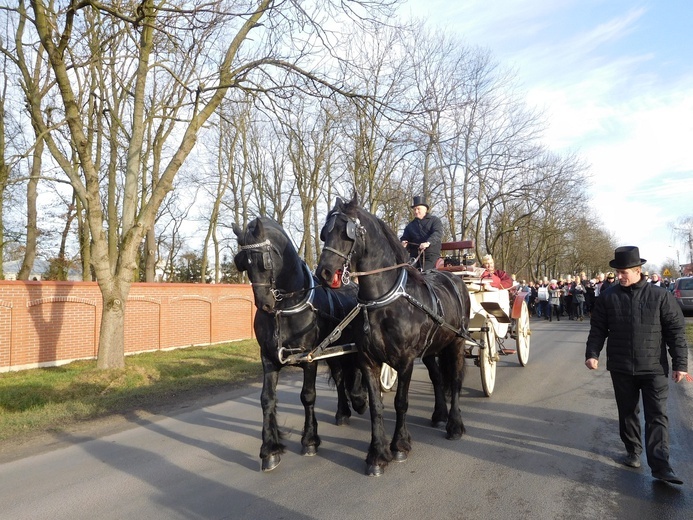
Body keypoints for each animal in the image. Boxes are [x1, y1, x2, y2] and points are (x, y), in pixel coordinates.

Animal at [232, 215, 368, 472]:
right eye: (242, 263)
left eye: (264, 260)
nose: (264, 304)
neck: (285, 309)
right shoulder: (269, 358)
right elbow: (267, 399)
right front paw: (269, 450)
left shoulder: (310, 357)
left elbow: (308, 396)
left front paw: (310, 441)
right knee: (340, 377)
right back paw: (343, 412)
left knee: (355, 372)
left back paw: (359, 399)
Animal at [314, 197, 470, 478]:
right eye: (325, 232)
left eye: (346, 232)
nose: (324, 272)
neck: (383, 301)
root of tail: (454, 277)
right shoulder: (368, 360)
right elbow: (376, 406)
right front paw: (377, 454)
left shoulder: (405, 360)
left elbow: (400, 402)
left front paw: (399, 445)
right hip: (431, 349)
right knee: (438, 378)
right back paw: (439, 414)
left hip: (457, 342)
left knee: (454, 381)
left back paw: (454, 425)